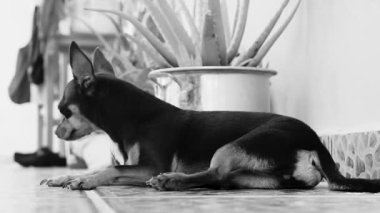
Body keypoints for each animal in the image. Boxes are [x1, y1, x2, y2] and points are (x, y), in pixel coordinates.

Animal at [40, 42, 380, 192]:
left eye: (62, 111)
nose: (56, 132)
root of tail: (315, 142)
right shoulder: (134, 167)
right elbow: (103, 168)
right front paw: (66, 176)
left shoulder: (149, 165)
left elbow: (110, 170)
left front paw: (82, 180)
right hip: (260, 176)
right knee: (223, 179)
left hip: (234, 146)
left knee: (215, 174)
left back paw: (173, 180)